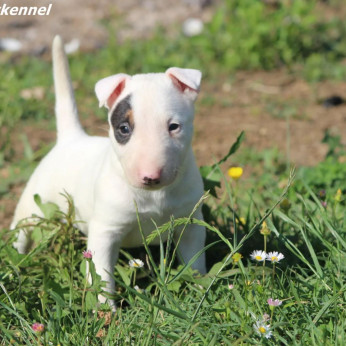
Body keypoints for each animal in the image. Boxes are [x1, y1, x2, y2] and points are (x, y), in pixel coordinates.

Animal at [12, 36, 205, 310]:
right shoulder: (105, 231)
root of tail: (70, 138)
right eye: (124, 128)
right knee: (20, 230)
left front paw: (201, 292)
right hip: (32, 206)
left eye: (174, 126)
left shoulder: (190, 222)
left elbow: (195, 262)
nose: (150, 176)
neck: (154, 196)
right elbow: (101, 274)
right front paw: (105, 311)